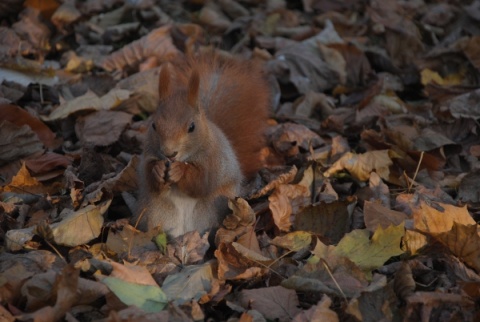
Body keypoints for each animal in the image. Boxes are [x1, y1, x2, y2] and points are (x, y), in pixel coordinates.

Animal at [135, 53, 270, 236]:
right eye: (154, 125)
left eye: (192, 127)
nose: (169, 153)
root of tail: (185, 231)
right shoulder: (148, 154)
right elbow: (148, 176)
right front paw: (158, 169)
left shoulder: (213, 160)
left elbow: (202, 182)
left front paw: (180, 171)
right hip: (156, 211)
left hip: (210, 209)